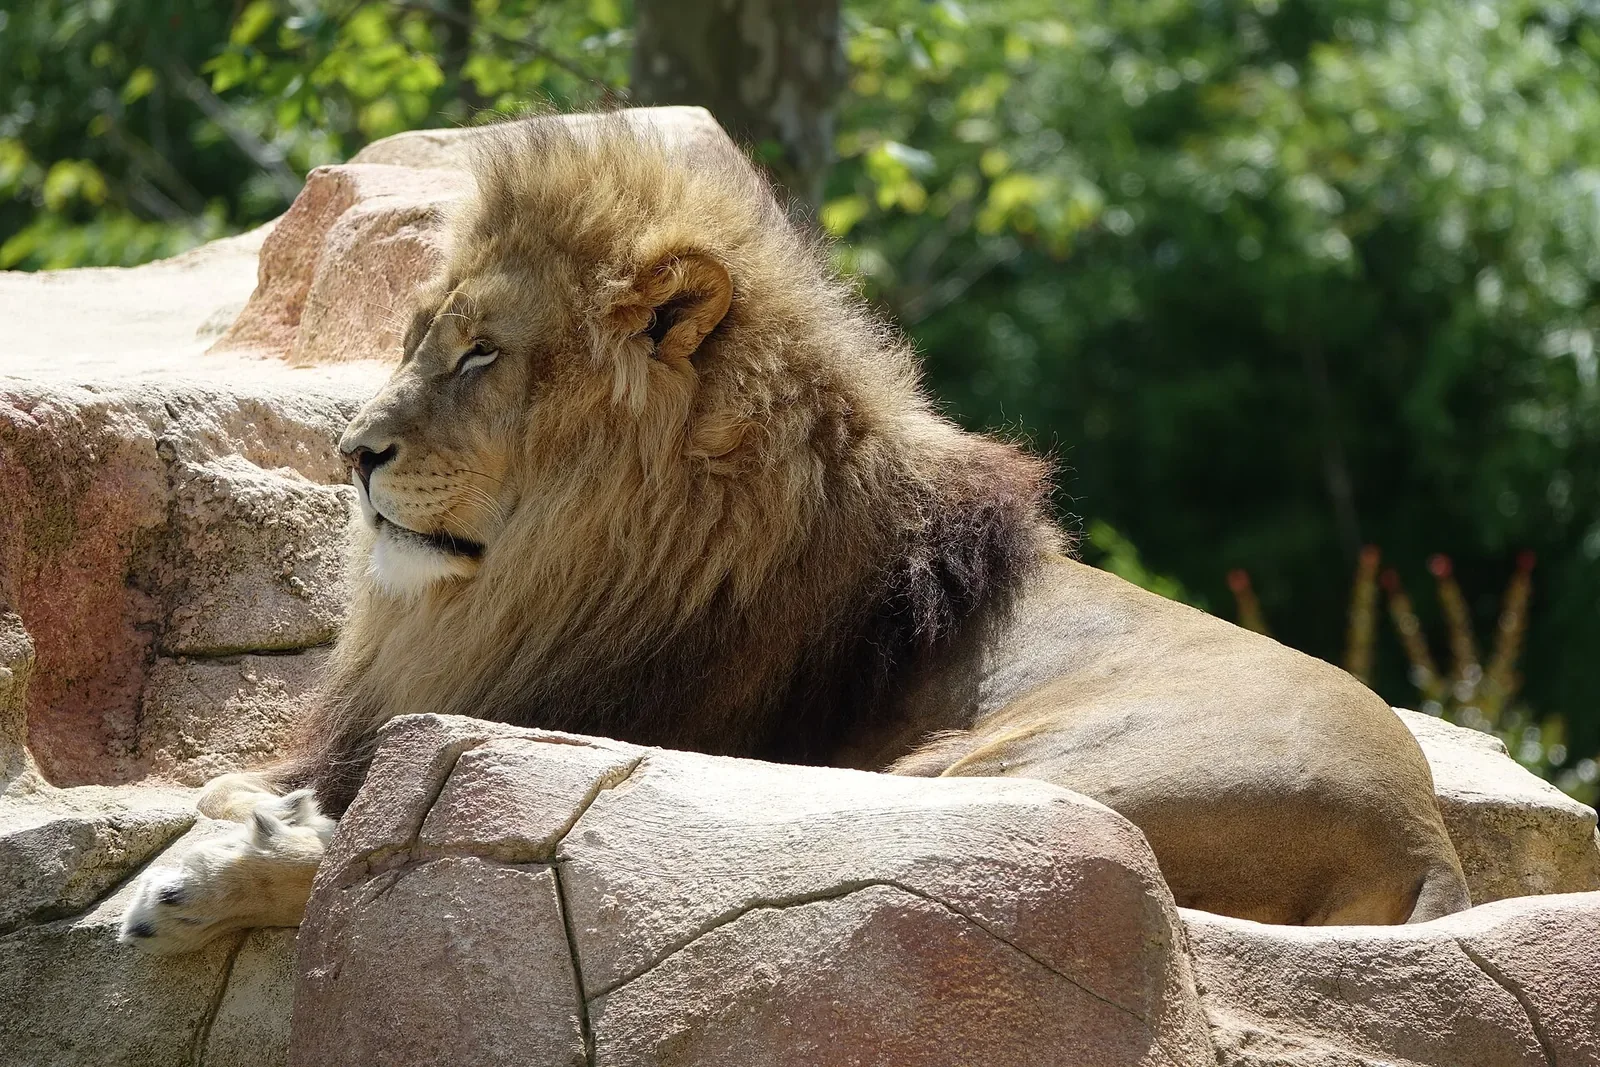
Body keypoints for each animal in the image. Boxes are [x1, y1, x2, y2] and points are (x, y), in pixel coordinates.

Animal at [121, 113, 1468, 953]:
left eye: (482, 354)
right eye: (415, 338)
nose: (354, 453)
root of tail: (1432, 847)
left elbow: (356, 823)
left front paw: (226, 841)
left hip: (983, 786)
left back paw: (187, 891)